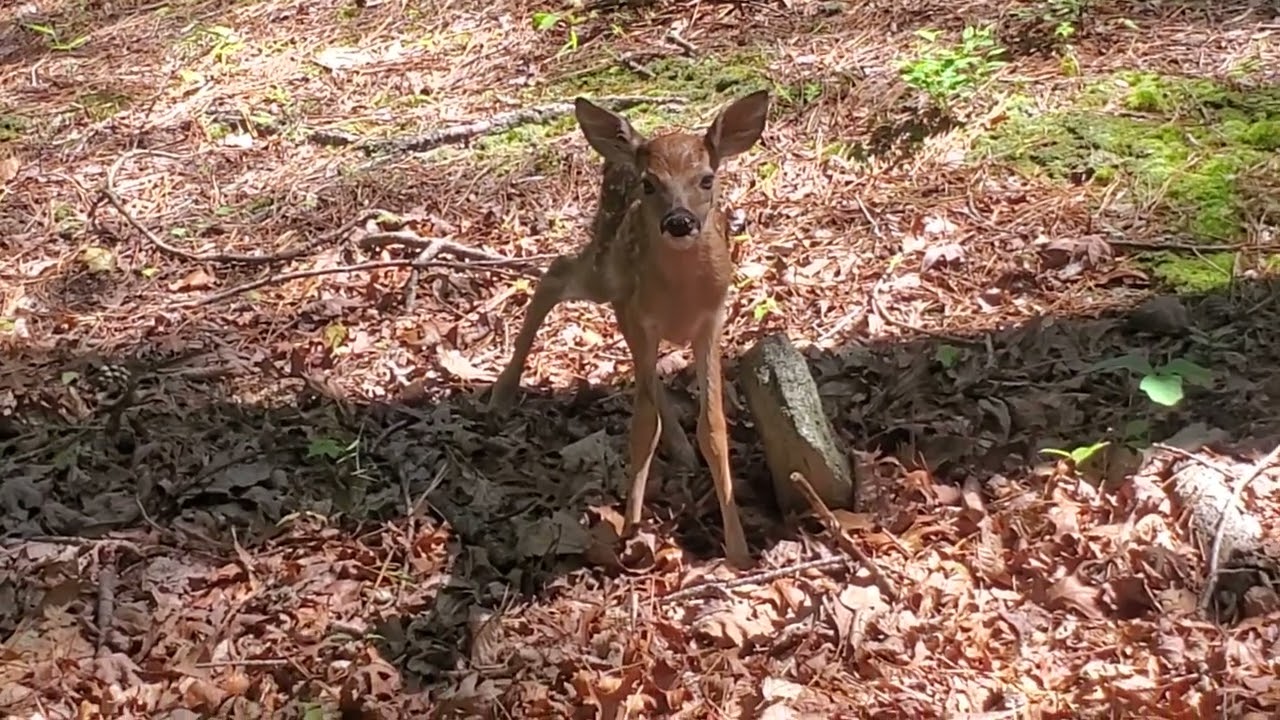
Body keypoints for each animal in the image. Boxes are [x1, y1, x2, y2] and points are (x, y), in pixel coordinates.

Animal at [486, 90, 771, 569]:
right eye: (650, 184)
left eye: (707, 179)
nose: (679, 221)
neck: (681, 296)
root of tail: (621, 152)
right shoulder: (642, 317)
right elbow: (642, 426)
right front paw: (631, 530)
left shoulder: (711, 321)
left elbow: (713, 428)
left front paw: (739, 553)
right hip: (607, 272)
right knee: (555, 272)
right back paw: (503, 391)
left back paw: (681, 449)